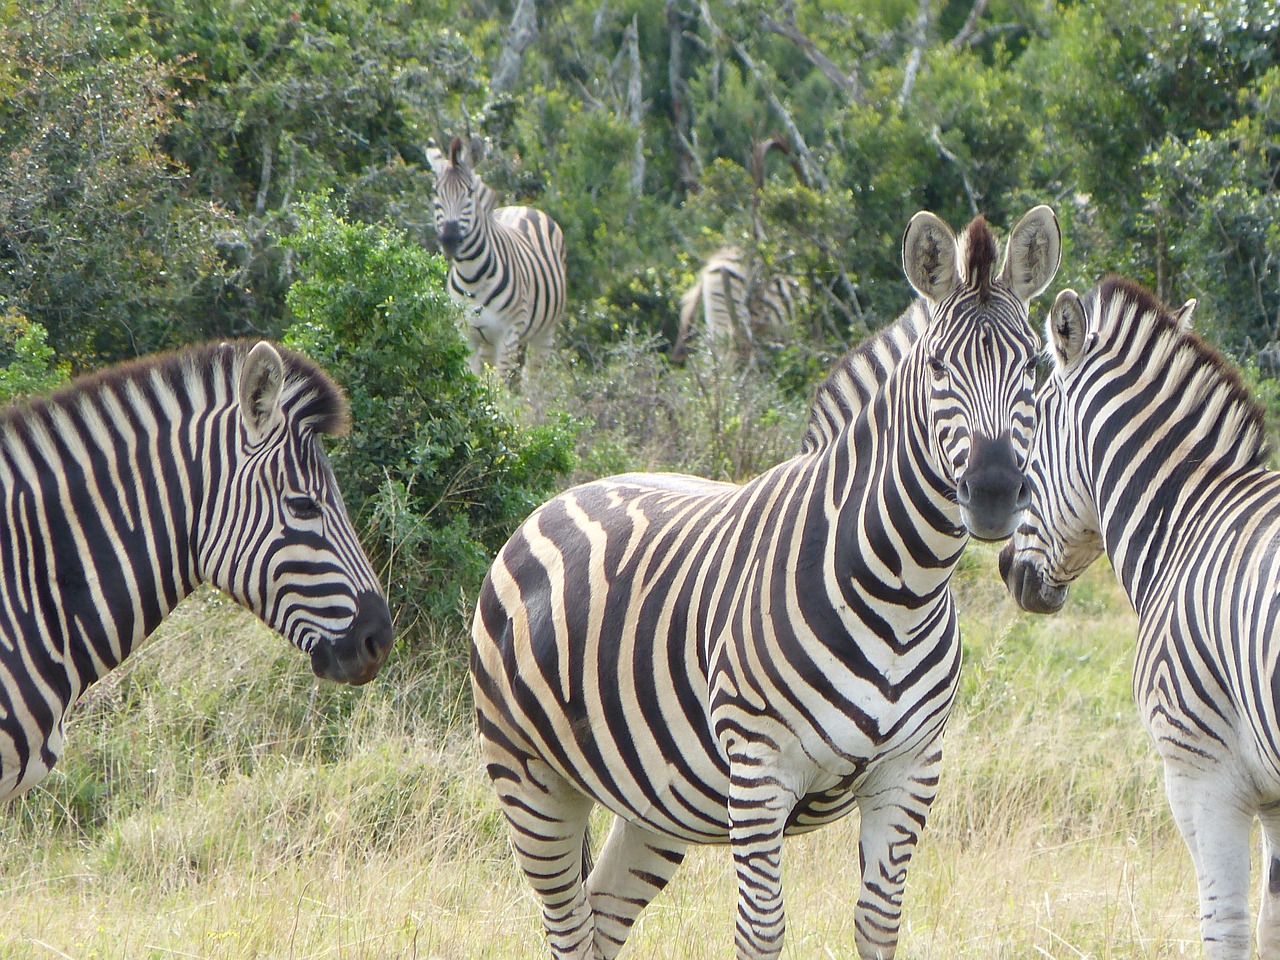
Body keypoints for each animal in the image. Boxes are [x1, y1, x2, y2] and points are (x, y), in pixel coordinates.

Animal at [424, 136, 565, 391]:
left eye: (470, 193)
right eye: (436, 192)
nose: (450, 240)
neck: (472, 277)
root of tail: (523, 207)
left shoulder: (508, 335)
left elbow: (501, 392)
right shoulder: (466, 333)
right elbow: (474, 384)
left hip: (544, 333)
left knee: (532, 384)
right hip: (489, 342)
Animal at [998, 273, 1280, 957]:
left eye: (1028, 438)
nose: (1006, 571)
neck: (1188, 521)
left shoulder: (1201, 772)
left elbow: (1226, 927)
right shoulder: (1270, 799)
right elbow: (1269, 927)